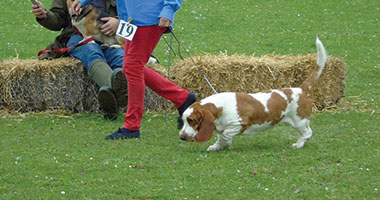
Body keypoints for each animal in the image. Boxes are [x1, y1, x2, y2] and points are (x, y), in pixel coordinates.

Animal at [180, 37, 328, 151]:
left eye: (191, 120)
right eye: (183, 120)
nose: (181, 137)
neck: (219, 108)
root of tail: (301, 89)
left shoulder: (239, 124)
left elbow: (226, 135)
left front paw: (224, 144)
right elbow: (220, 137)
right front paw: (217, 147)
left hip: (299, 121)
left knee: (307, 133)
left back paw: (298, 145)